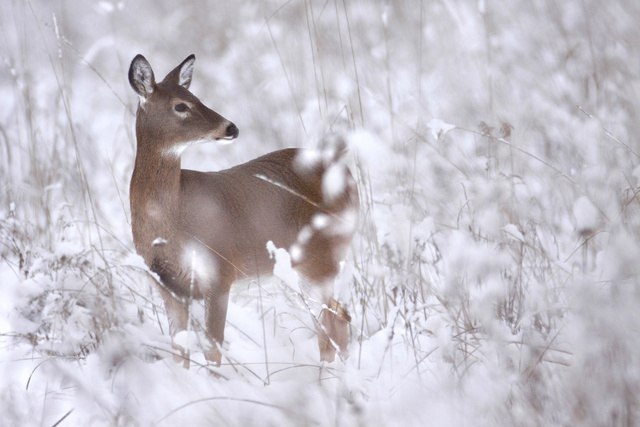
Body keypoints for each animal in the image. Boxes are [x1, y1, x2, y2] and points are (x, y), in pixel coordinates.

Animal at [127, 54, 359, 367]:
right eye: (181, 105)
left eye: (197, 97)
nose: (230, 128)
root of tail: (342, 171)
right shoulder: (168, 287)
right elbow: (179, 353)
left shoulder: (220, 272)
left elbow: (213, 351)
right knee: (340, 318)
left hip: (320, 259)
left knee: (329, 327)